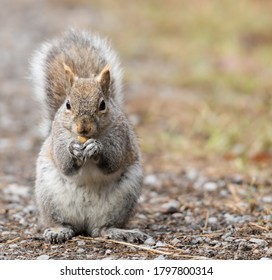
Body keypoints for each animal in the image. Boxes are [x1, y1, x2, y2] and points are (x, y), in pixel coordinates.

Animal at [30, 27, 149, 243]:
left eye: (102, 104)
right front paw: (73, 149)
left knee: (102, 228)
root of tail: (85, 223)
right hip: (49, 198)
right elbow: (64, 163)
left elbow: (113, 160)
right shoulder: (58, 136)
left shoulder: (122, 137)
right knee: (64, 223)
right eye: (68, 104)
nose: (82, 128)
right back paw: (59, 231)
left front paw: (96, 148)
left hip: (123, 199)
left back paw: (121, 232)